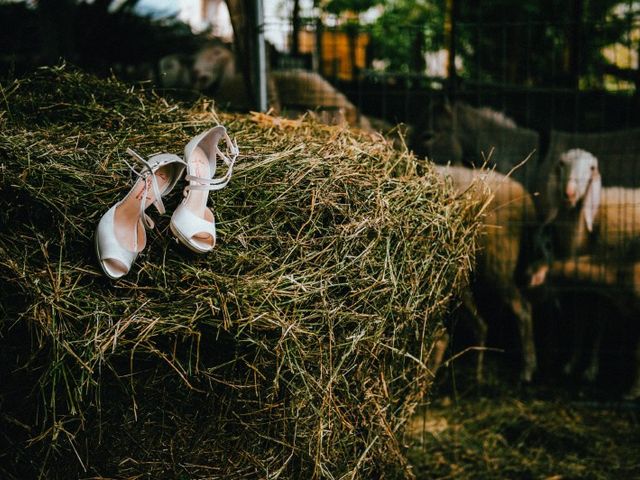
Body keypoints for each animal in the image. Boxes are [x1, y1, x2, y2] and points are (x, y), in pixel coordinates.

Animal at [432, 165, 536, 382]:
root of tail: (524, 198)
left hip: (496, 265)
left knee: (521, 308)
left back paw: (527, 370)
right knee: (479, 325)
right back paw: (475, 373)